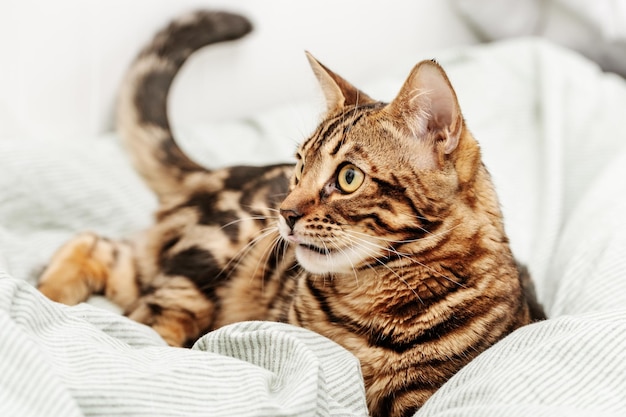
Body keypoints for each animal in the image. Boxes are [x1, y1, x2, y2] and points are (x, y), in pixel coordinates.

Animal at [39, 9, 544, 416]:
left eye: (347, 177)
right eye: (299, 167)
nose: (285, 212)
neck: (372, 309)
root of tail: (221, 172)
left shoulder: (425, 395)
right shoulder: (305, 351)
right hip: (208, 259)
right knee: (138, 312)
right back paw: (47, 298)